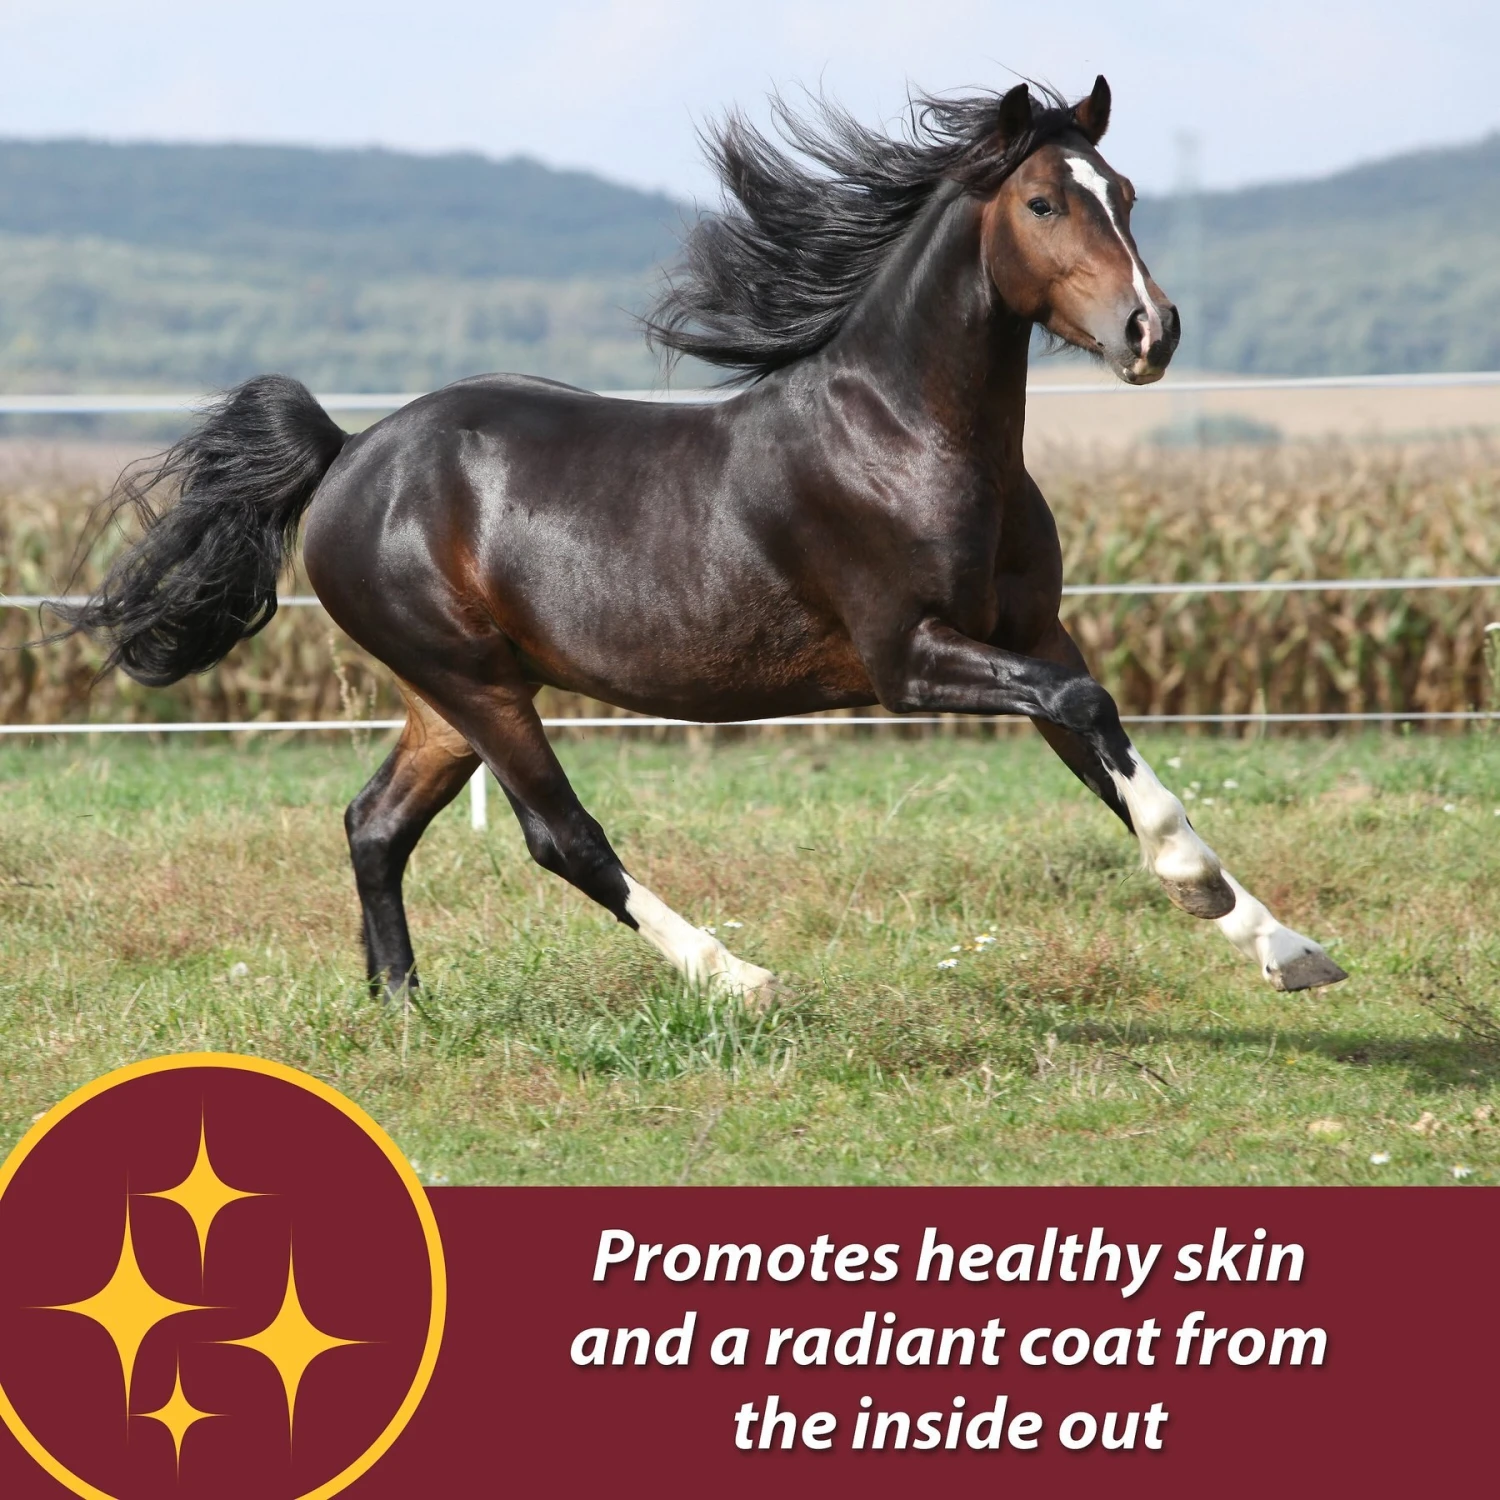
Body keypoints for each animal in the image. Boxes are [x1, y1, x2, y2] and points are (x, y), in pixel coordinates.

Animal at [57, 77, 1347, 1005]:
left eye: (1124, 190)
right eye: (1044, 203)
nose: (1150, 330)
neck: (908, 436)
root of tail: (344, 455)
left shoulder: (1031, 634)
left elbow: (1107, 750)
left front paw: (1282, 946)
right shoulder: (909, 659)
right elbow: (1090, 718)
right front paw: (1200, 892)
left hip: (450, 693)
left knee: (375, 825)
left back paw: (402, 1005)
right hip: (475, 684)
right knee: (560, 837)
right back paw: (740, 978)